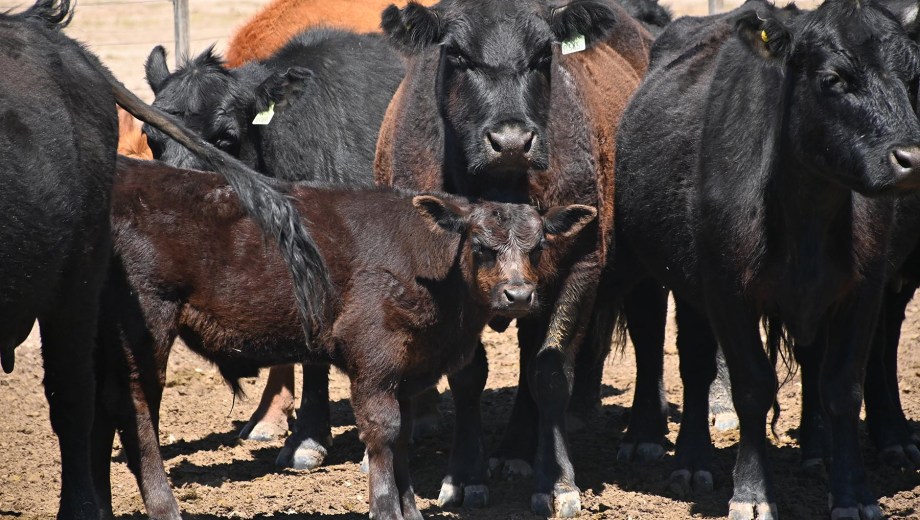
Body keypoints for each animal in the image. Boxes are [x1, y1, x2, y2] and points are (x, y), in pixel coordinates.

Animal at [93, 156, 597, 520]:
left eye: (538, 247)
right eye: (480, 246)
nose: (519, 295)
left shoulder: (409, 369)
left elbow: (403, 438)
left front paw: (410, 511)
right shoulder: (373, 359)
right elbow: (383, 431)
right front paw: (385, 509)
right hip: (147, 324)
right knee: (137, 411)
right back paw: (165, 506)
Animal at [374, 0, 653, 516]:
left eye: (544, 53)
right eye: (457, 54)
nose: (511, 141)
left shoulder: (581, 266)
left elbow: (551, 371)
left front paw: (557, 480)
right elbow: (469, 374)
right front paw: (466, 474)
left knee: (646, 332)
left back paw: (644, 435)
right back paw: (514, 449)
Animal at [614, 0, 920, 518]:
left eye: (913, 73)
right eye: (833, 78)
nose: (912, 159)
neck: (806, 216)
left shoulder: (864, 288)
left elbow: (842, 386)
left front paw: (853, 493)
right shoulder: (725, 290)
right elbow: (753, 387)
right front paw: (752, 494)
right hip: (683, 285)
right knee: (694, 363)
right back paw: (691, 462)